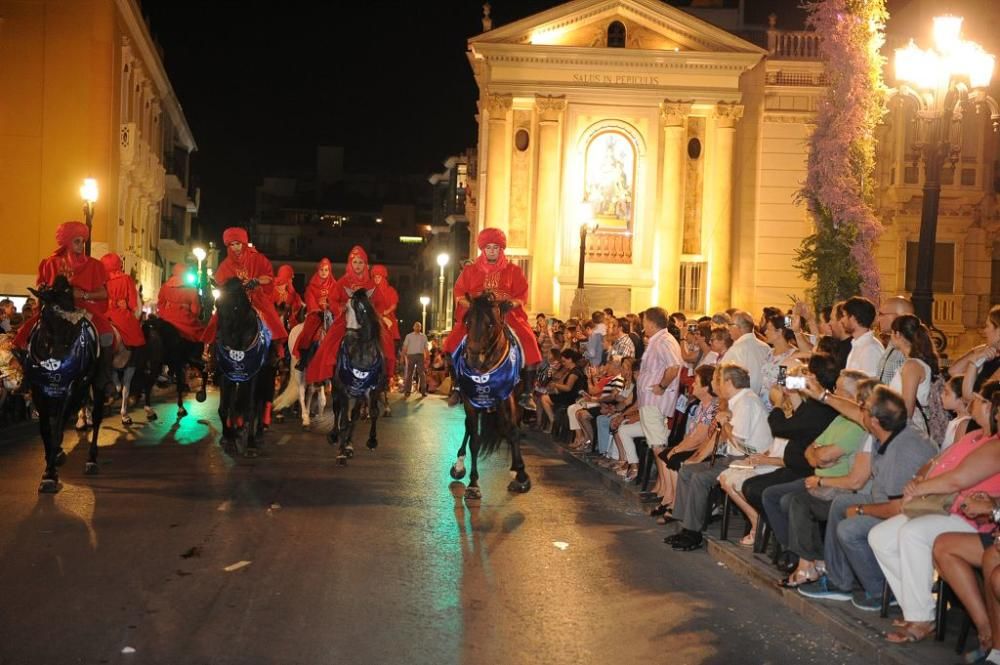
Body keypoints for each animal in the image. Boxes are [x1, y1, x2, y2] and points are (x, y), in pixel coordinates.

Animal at [17, 274, 102, 492]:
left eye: (72, 307)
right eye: (53, 310)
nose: (62, 358)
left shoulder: (69, 388)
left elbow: (57, 429)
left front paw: (49, 474)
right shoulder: (39, 390)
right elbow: (46, 429)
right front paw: (51, 463)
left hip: (97, 381)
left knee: (97, 417)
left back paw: (91, 460)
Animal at [216, 276, 276, 456]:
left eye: (236, 307)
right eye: (216, 304)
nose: (223, 342)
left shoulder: (254, 376)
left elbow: (251, 408)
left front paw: (250, 444)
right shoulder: (226, 375)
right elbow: (225, 408)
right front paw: (229, 438)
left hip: (266, 376)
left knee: (261, 402)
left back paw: (259, 433)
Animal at [330, 286, 388, 462]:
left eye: (363, 309)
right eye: (346, 309)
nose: (348, 337)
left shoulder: (372, 389)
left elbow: (373, 412)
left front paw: (372, 441)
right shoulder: (343, 389)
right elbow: (343, 420)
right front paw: (341, 452)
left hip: (359, 394)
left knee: (354, 415)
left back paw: (349, 444)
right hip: (336, 387)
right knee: (337, 409)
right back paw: (335, 436)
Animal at [452, 294, 532, 500]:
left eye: (490, 324)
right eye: (467, 322)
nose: (473, 358)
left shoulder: (507, 398)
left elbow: (513, 432)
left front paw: (521, 475)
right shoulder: (470, 402)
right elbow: (474, 440)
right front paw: (473, 484)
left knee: (510, 429)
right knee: (469, 428)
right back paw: (458, 466)